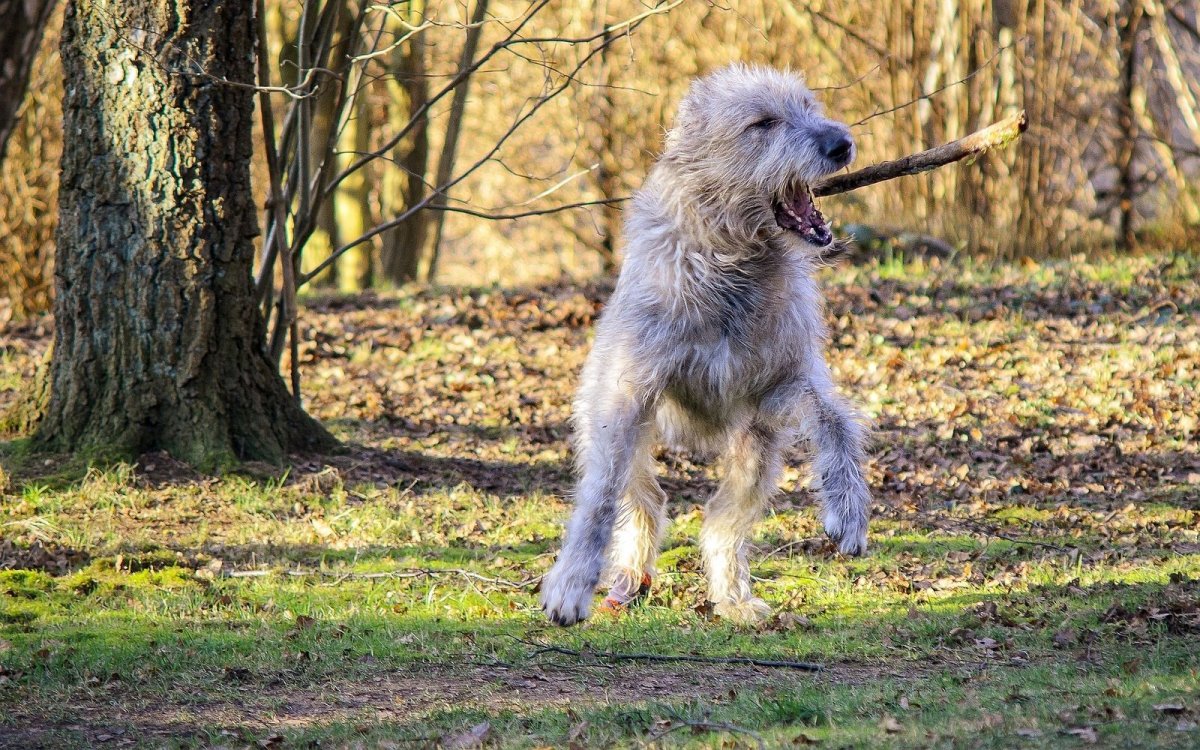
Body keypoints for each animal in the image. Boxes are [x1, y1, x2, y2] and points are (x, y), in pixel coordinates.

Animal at [544, 64, 873, 624]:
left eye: (808, 106)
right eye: (763, 123)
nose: (841, 143)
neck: (730, 258)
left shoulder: (782, 381)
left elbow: (834, 420)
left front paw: (848, 508)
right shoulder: (629, 395)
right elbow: (601, 494)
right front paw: (570, 583)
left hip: (755, 451)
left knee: (722, 520)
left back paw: (734, 599)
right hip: (614, 424)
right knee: (643, 499)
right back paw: (628, 575)